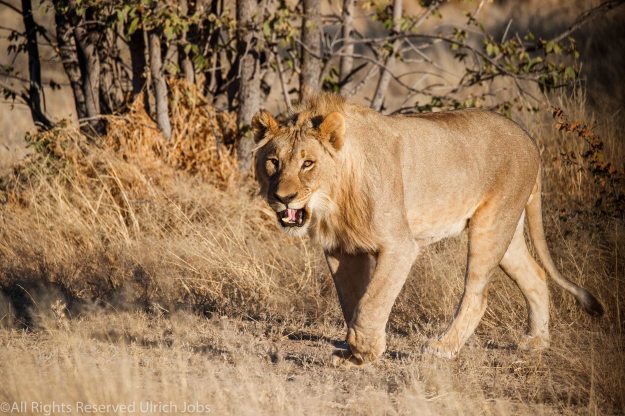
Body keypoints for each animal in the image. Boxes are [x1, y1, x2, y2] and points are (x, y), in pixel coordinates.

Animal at [251, 93, 604, 365]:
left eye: (308, 163)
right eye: (273, 162)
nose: (283, 198)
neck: (334, 200)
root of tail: (528, 138)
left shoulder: (399, 245)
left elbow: (373, 301)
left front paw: (364, 353)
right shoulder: (342, 249)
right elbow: (352, 300)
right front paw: (353, 351)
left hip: (490, 227)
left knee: (478, 295)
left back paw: (443, 348)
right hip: (508, 229)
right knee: (536, 275)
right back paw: (537, 341)